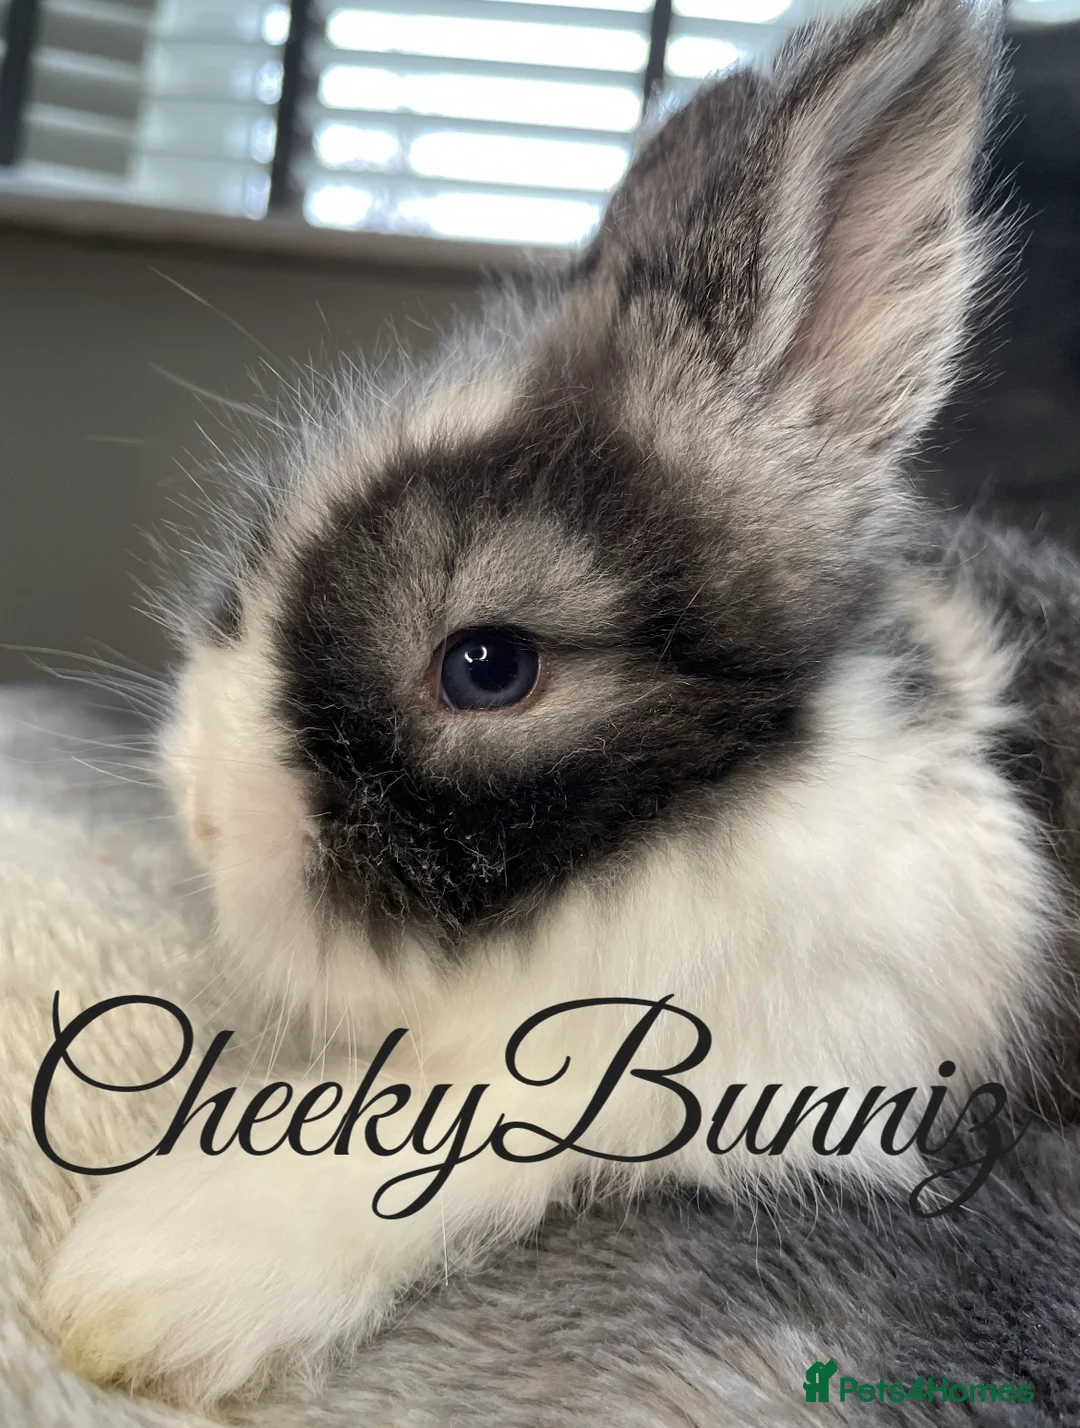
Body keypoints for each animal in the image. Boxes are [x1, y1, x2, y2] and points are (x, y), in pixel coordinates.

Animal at [39, 0, 1080, 1408]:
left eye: (488, 667)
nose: (203, 816)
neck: (704, 812)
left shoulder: (749, 1053)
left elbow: (474, 1108)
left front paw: (142, 1278)